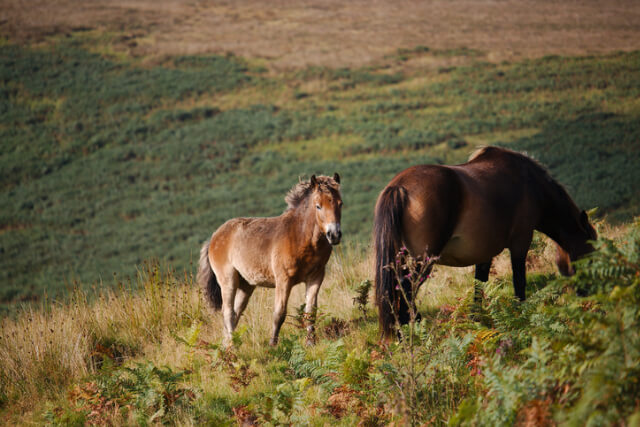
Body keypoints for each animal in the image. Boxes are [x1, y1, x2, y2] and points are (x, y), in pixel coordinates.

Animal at [198, 176, 342, 346]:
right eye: (318, 206)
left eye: (340, 203)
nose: (334, 235)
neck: (300, 237)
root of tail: (214, 237)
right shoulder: (283, 280)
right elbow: (279, 314)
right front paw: (273, 345)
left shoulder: (316, 277)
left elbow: (310, 312)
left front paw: (310, 343)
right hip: (228, 280)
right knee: (227, 312)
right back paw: (233, 345)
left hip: (247, 285)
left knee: (236, 312)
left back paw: (227, 345)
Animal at [372, 149, 596, 340]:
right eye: (590, 255)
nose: (587, 295)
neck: (531, 183)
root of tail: (401, 185)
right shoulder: (521, 243)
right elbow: (519, 281)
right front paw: (520, 314)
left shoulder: (484, 254)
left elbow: (479, 285)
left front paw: (475, 320)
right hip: (423, 260)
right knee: (405, 289)